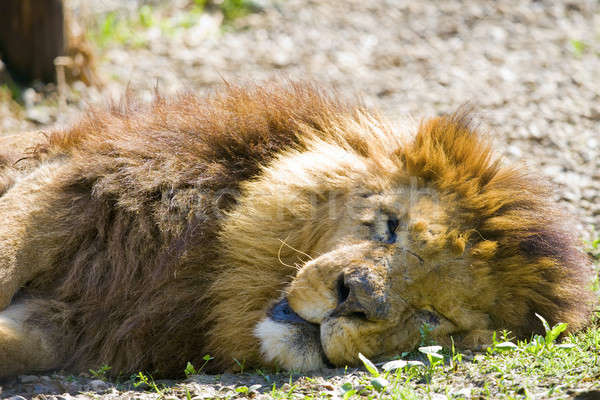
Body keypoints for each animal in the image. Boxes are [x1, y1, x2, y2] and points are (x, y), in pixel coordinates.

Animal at [0, 82, 592, 378]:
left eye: (435, 317)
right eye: (390, 227)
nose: (353, 297)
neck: (208, 273)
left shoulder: (78, 327)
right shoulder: (70, 179)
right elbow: (10, 251)